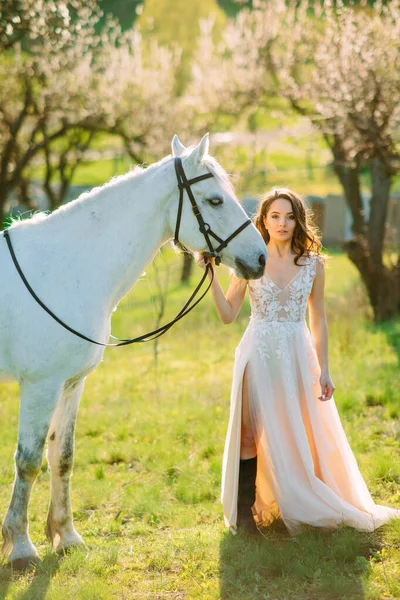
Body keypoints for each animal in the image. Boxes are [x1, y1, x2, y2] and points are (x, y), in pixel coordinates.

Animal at [1, 134, 268, 568]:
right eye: (214, 200)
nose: (260, 258)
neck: (63, 268)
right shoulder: (41, 386)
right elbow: (28, 461)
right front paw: (21, 547)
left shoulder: (71, 383)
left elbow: (62, 456)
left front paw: (66, 537)